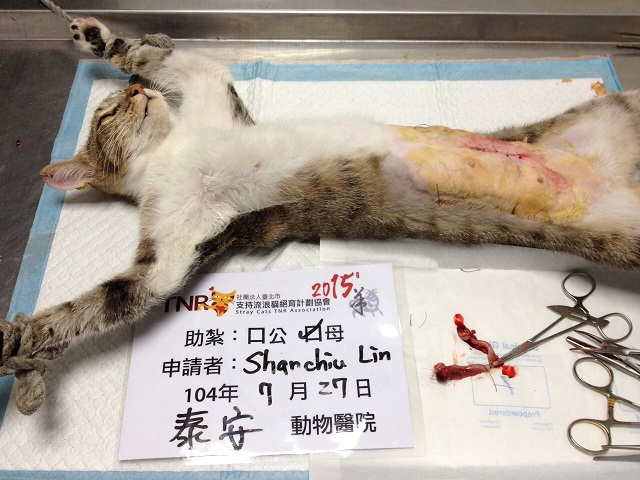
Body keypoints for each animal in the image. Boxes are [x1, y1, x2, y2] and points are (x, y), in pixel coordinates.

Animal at [3, 16, 640, 414]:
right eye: (107, 114)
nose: (136, 93)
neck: (168, 150)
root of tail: (604, 175)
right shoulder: (175, 238)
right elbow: (127, 292)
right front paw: (30, 351)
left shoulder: (210, 95)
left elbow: (187, 62)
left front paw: (101, 37)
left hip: (616, 112)